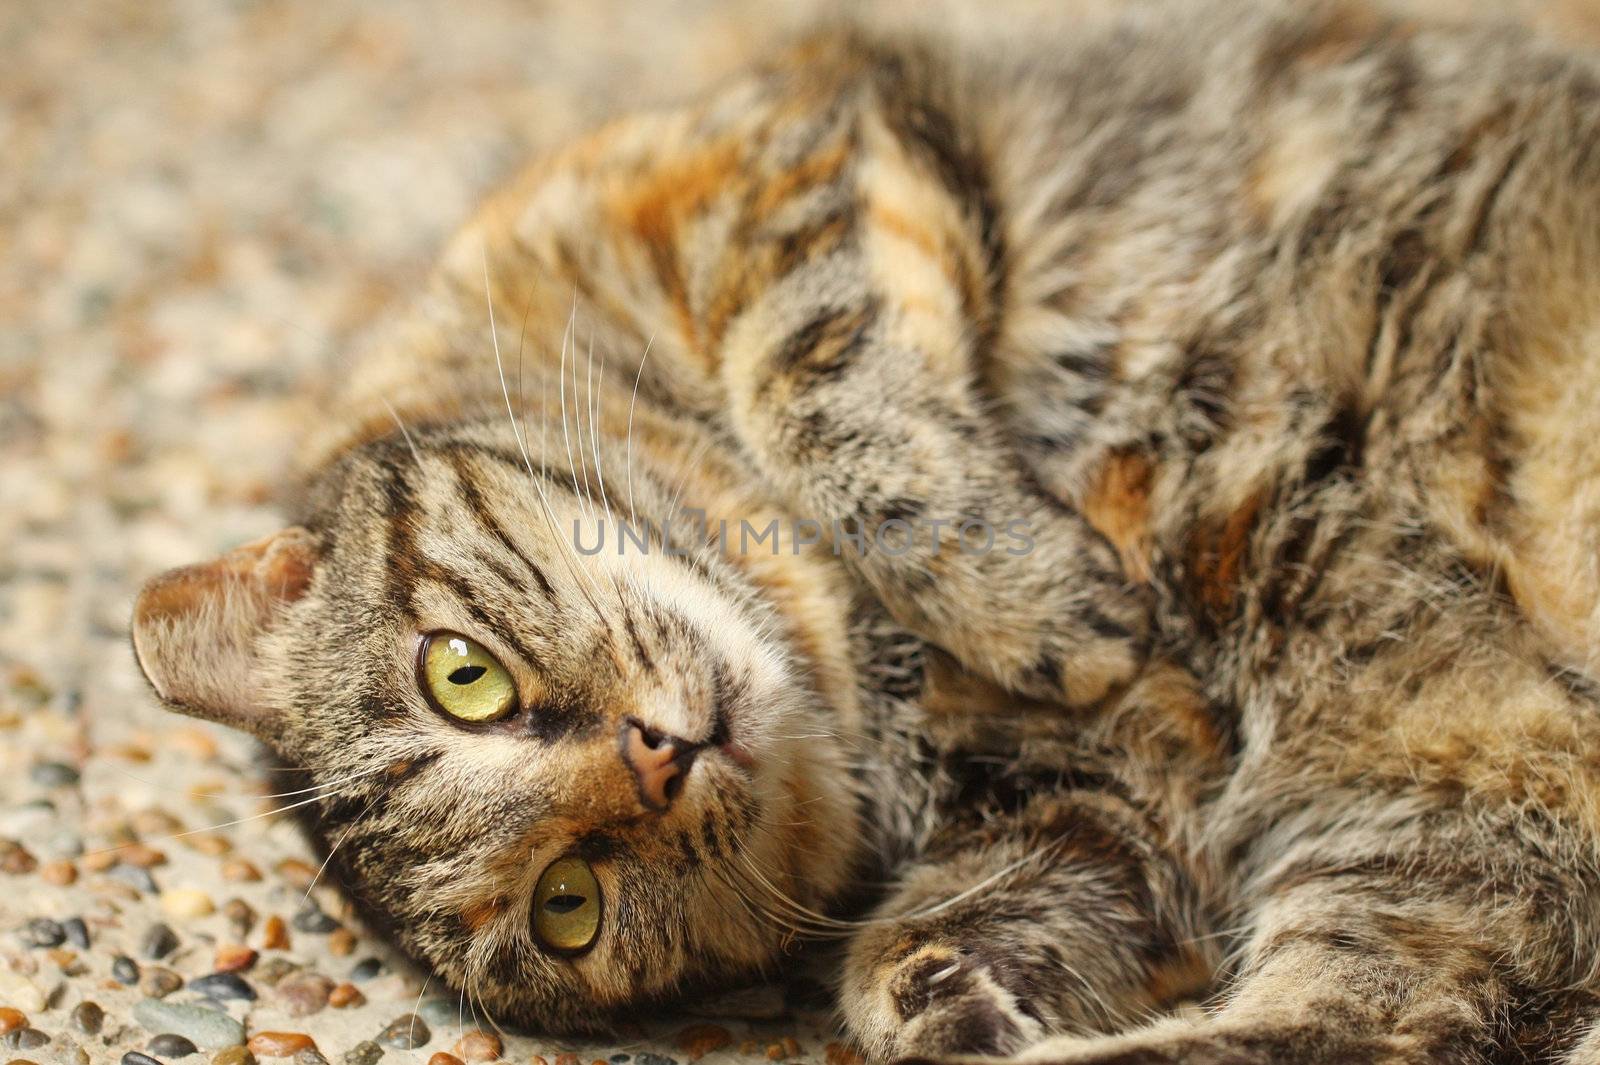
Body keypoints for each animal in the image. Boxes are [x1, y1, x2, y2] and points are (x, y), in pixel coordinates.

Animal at [128, 0, 1600, 1055]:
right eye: (569, 906)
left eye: (462, 678)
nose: (659, 759)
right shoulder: (1119, 795)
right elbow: (1014, 904)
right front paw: (943, 987)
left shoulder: (785, 166)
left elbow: (824, 405)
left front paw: (1040, 603)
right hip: (1439, 810)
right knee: (1369, 1019)